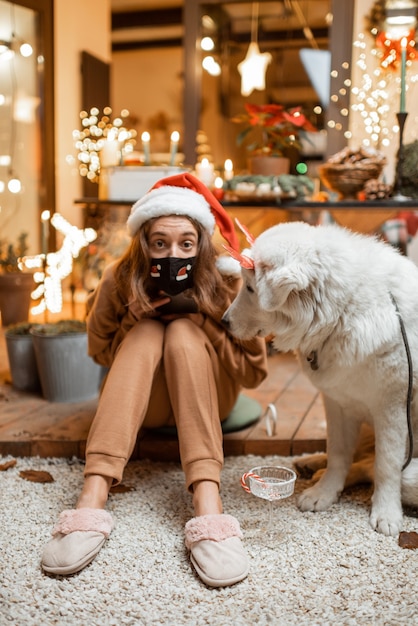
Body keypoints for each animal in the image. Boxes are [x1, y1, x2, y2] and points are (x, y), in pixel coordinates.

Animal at [224, 219, 418, 532]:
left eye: (251, 289)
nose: (224, 322)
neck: (342, 312)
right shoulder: (337, 402)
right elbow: (339, 452)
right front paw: (325, 493)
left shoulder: (392, 407)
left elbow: (386, 464)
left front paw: (387, 512)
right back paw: (313, 463)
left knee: (378, 465)